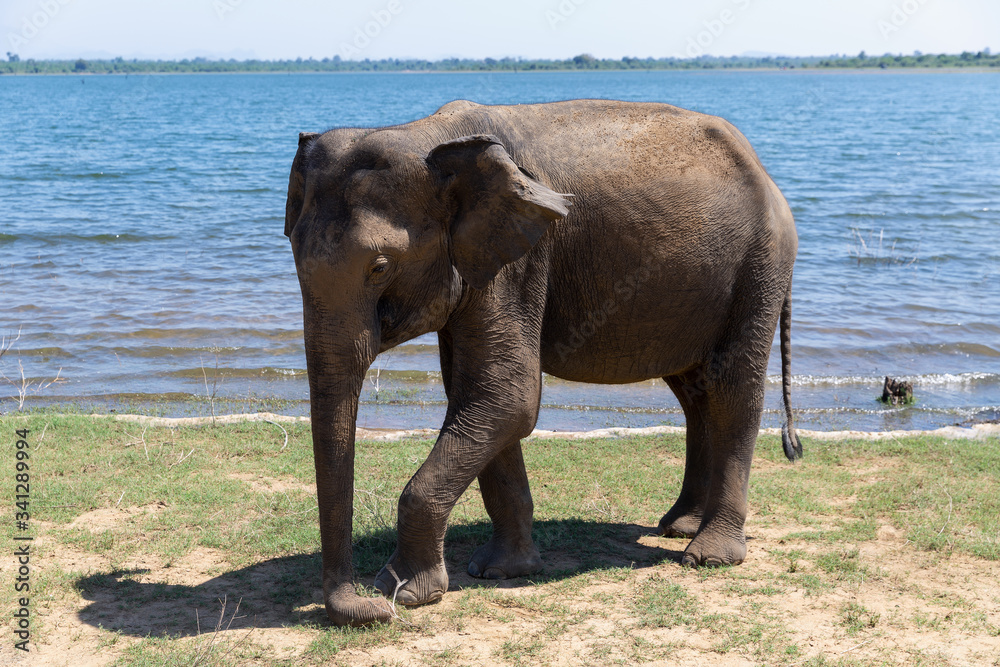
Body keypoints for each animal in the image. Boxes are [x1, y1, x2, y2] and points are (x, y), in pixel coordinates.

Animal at [284, 99, 802, 627]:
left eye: (380, 267)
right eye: (294, 255)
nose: (369, 608)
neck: (425, 135)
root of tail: (766, 174)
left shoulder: (518, 264)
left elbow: (507, 397)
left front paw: (405, 592)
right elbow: (479, 397)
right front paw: (499, 571)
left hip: (760, 267)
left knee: (733, 393)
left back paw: (708, 555)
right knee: (695, 393)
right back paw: (679, 526)